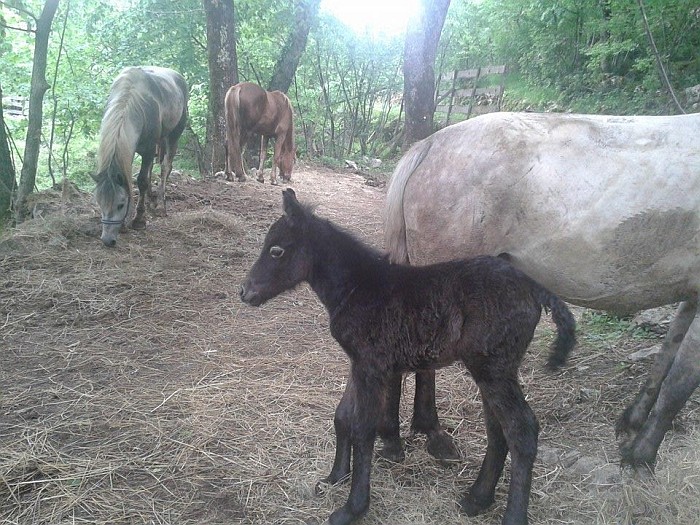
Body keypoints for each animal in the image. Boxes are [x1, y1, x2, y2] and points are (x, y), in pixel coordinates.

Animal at [239, 189, 576, 524]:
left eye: (276, 251)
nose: (245, 291)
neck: (357, 286)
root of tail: (532, 286)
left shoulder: (371, 366)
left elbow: (363, 429)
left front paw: (353, 507)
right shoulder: (360, 363)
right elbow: (343, 416)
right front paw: (335, 477)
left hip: (493, 368)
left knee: (521, 430)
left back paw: (509, 513)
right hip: (494, 369)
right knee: (498, 429)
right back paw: (477, 498)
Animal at [382, 111, 700, 470]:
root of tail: (430, 144)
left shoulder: (691, 298)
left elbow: (665, 360)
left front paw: (633, 422)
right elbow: (680, 381)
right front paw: (642, 454)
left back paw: (415, 435)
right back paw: (421, 437)